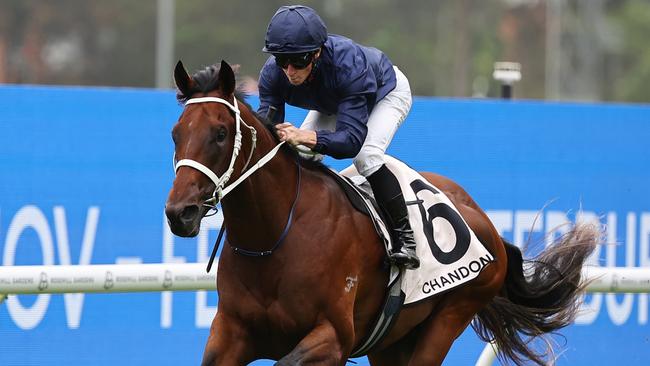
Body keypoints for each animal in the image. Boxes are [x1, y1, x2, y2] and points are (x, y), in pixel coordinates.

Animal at [166, 60, 596, 366]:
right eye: (176, 133)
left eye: (220, 133)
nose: (179, 213)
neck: (274, 239)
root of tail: (485, 223)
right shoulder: (229, 334)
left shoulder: (333, 337)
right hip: (391, 341)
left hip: (451, 315)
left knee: (370, 156)